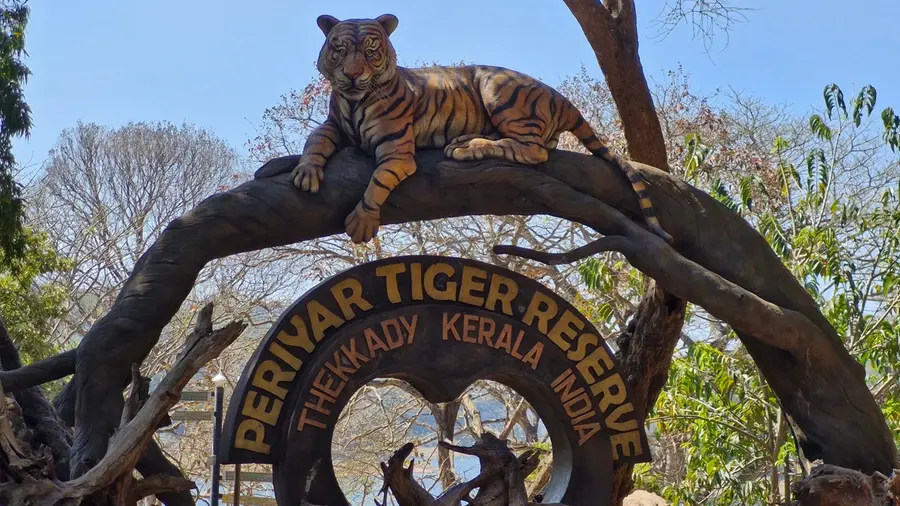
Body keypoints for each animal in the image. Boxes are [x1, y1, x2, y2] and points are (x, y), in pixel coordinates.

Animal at [287, 13, 673, 245]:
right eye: (339, 50)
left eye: (370, 52)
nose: (352, 75)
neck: (352, 101)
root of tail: (560, 97)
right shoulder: (333, 125)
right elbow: (314, 141)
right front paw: (306, 173)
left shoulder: (397, 150)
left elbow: (377, 181)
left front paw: (362, 222)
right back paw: (465, 140)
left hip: (498, 89)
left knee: (533, 150)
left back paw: (465, 148)